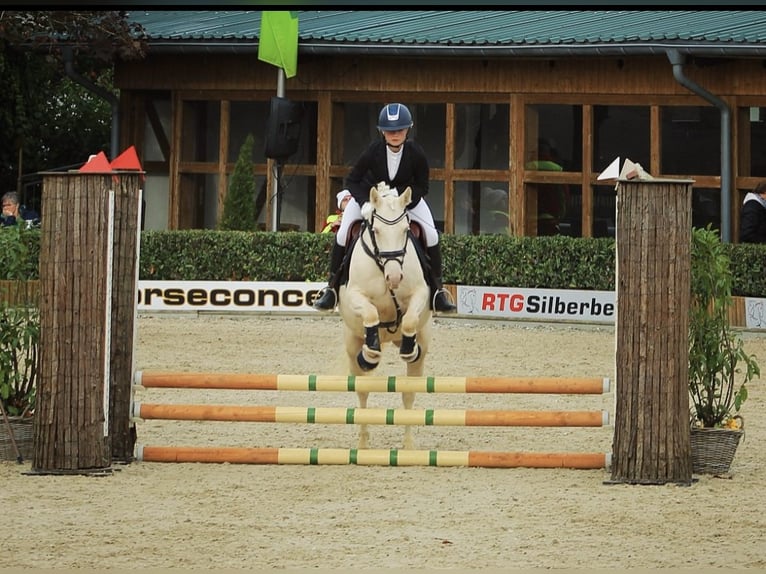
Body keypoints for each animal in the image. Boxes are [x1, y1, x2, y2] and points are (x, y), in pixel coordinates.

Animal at [340, 182, 436, 452]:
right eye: (377, 230)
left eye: (405, 230)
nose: (394, 278)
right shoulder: (354, 295)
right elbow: (371, 312)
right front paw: (371, 350)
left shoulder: (420, 293)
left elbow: (410, 319)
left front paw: (408, 348)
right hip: (351, 344)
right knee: (362, 391)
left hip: (421, 352)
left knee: (408, 393)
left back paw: (409, 446)